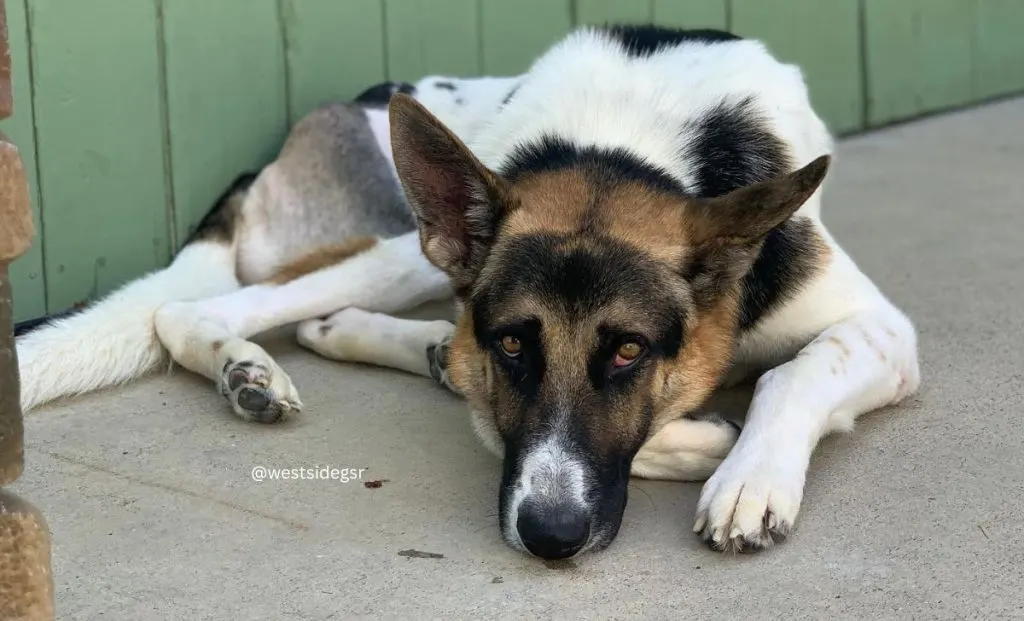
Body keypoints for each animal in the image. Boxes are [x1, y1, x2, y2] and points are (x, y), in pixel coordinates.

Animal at [14, 24, 921, 561]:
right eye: (515, 342)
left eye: (629, 349)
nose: (550, 537)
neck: (619, 148)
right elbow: (503, 416)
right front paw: (710, 440)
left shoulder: (883, 331)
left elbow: (792, 371)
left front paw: (750, 477)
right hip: (408, 250)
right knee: (191, 309)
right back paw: (254, 368)